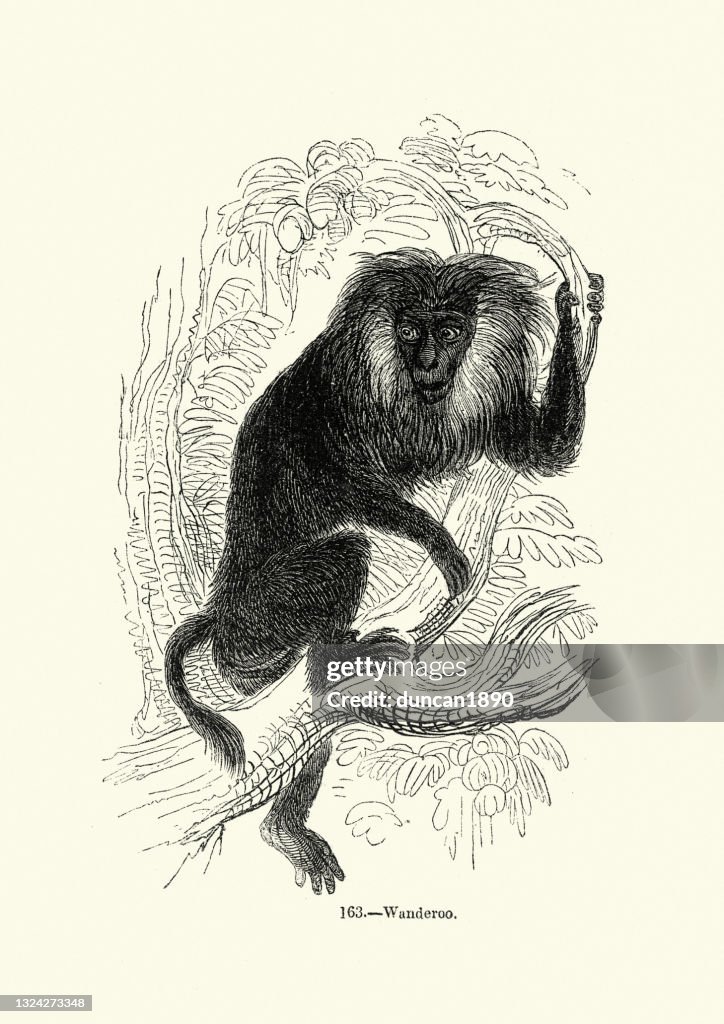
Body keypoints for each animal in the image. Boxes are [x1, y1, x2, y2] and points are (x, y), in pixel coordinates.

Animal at [164, 247, 586, 893]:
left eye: (450, 331)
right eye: (411, 332)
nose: (430, 363)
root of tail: (221, 610)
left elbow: (541, 451)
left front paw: (578, 308)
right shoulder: (338, 391)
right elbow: (351, 487)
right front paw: (448, 555)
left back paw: (286, 823)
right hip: (264, 622)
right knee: (345, 554)